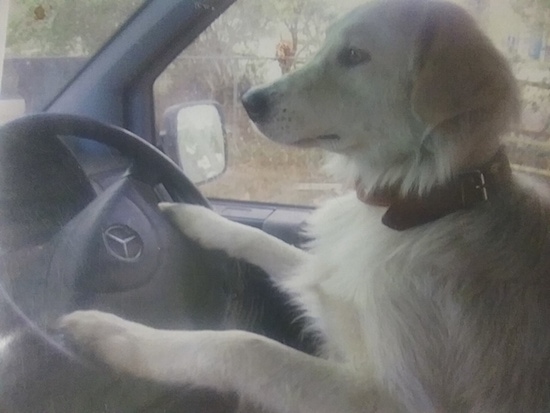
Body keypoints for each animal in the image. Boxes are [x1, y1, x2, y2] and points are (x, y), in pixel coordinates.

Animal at [59, 0, 550, 412]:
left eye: (353, 56)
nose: (249, 101)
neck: (419, 202)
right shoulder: (323, 273)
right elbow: (264, 243)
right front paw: (196, 217)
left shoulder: (394, 398)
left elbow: (245, 347)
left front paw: (117, 333)